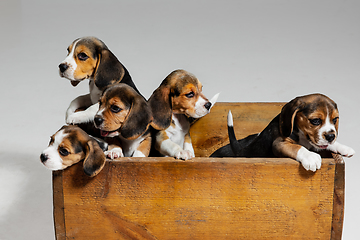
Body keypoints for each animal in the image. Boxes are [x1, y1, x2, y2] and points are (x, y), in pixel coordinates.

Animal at [211, 93, 354, 172]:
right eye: (315, 121)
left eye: (335, 119)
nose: (331, 136)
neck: (302, 134)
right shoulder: (279, 143)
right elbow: (297, 147)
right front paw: (310, 157)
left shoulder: (314, 142)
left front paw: (343, 147)